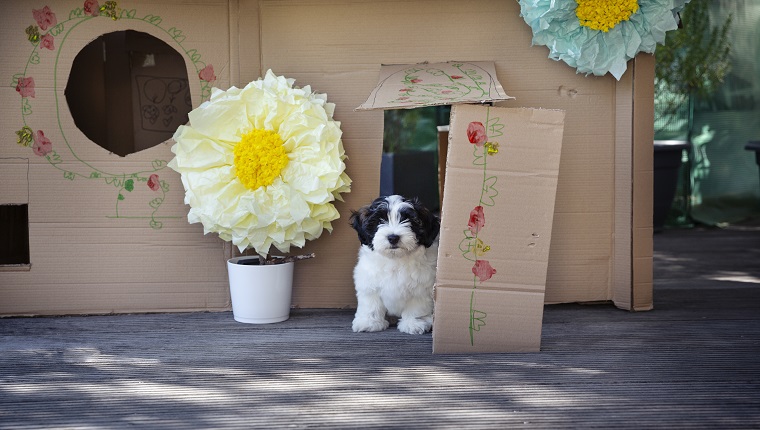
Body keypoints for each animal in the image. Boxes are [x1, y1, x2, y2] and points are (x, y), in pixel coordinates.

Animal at [348, 193, 440, 334]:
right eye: (380, 220)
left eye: (410, 221)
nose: (393, 237)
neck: (395, 259)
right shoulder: (368, 282)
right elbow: (371, 303)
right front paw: (369, 322)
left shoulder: (422, 287)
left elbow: (417, 305)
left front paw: (414, 323)